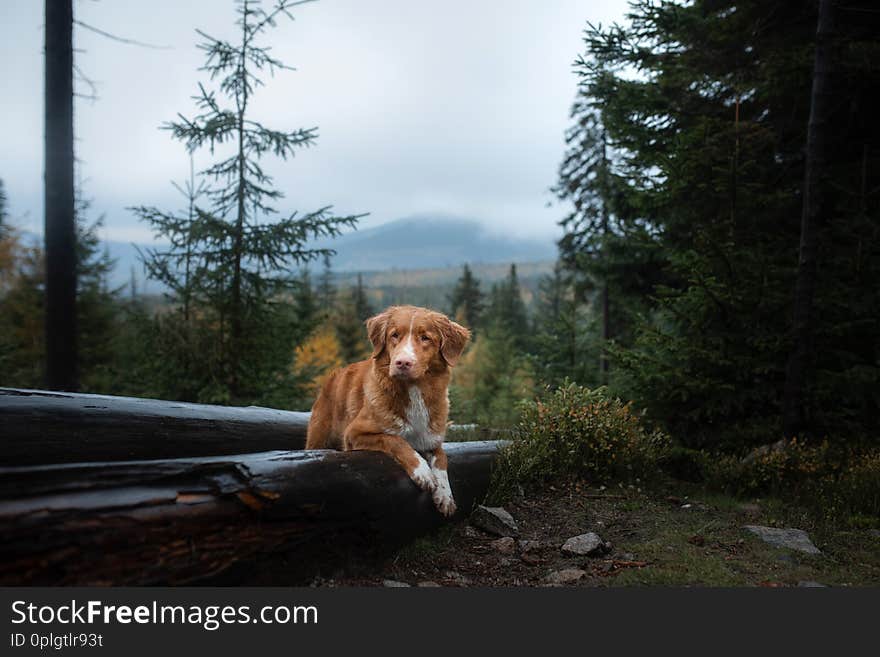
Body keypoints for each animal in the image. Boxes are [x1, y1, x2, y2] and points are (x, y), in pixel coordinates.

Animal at [306, 304, 470, 516]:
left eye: (425, 338)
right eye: (394, 335)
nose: (402, 362)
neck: (413, 391)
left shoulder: (431, 438)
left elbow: (442, 458)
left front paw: (445, 495)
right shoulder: (354, 434)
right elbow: (395, 439)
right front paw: (422, 471)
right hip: (318, 437)